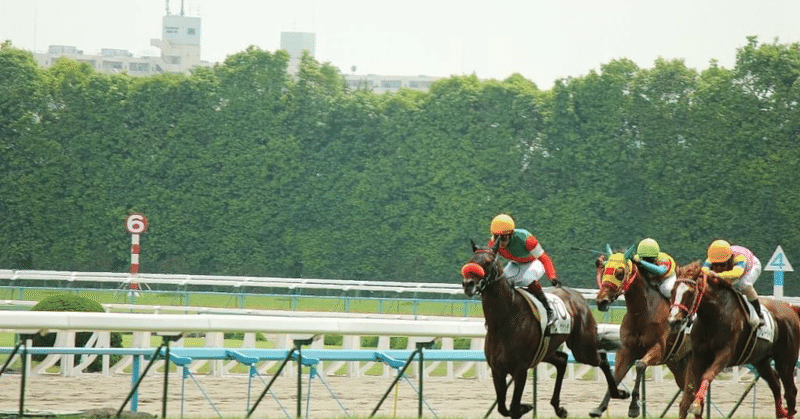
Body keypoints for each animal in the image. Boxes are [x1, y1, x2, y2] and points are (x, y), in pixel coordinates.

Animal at [466, 241, 628, 418]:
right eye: (471, 260)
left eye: (488, 262)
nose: (468, 284)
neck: (504, 320)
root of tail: (577, 295)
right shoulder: (497, 370)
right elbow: (503, 408)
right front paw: (526, 406)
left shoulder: (520, 370)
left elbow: (513, 407)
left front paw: (525, 407)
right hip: (545, 350)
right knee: (562, 360)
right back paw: (559, 408)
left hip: (582, 348)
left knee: (602, 358)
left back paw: (618, 393)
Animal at [592, 244, 692, 418]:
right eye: (604, 271)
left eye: (619, 273)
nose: (601, 301)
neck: (642, 313)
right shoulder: (626, 350)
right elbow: (616, 375)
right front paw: (600, 407)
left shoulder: (659, 349)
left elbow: (640, 366)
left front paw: (634, 407)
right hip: (678, 363)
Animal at [664, 262, 800, 419]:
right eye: (672, 291)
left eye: (690, 293)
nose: (673, 321)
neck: (713, 316)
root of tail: (790, 307)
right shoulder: (698, 356)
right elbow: (687, 395)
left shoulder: (725, 355)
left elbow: (707, 375)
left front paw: (697, 404)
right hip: (760, 360)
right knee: (775, 384)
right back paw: (780, 411)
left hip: (786, 361)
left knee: (790, 393)